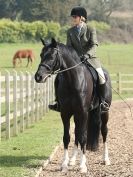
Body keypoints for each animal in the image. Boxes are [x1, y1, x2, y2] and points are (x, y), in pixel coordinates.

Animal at [34, 38, 111, 173]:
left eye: (52, 56)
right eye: (41, 55)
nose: (38, 77)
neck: (73, 80)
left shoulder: (83, 113)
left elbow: (83, 137)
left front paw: (83, 166)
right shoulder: (65, 113)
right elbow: (67, 137)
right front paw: (65, 164)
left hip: (104, 112)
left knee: (104, 132)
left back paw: (105, 159)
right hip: (76, 115)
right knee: (77, 133)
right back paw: (73, 160)